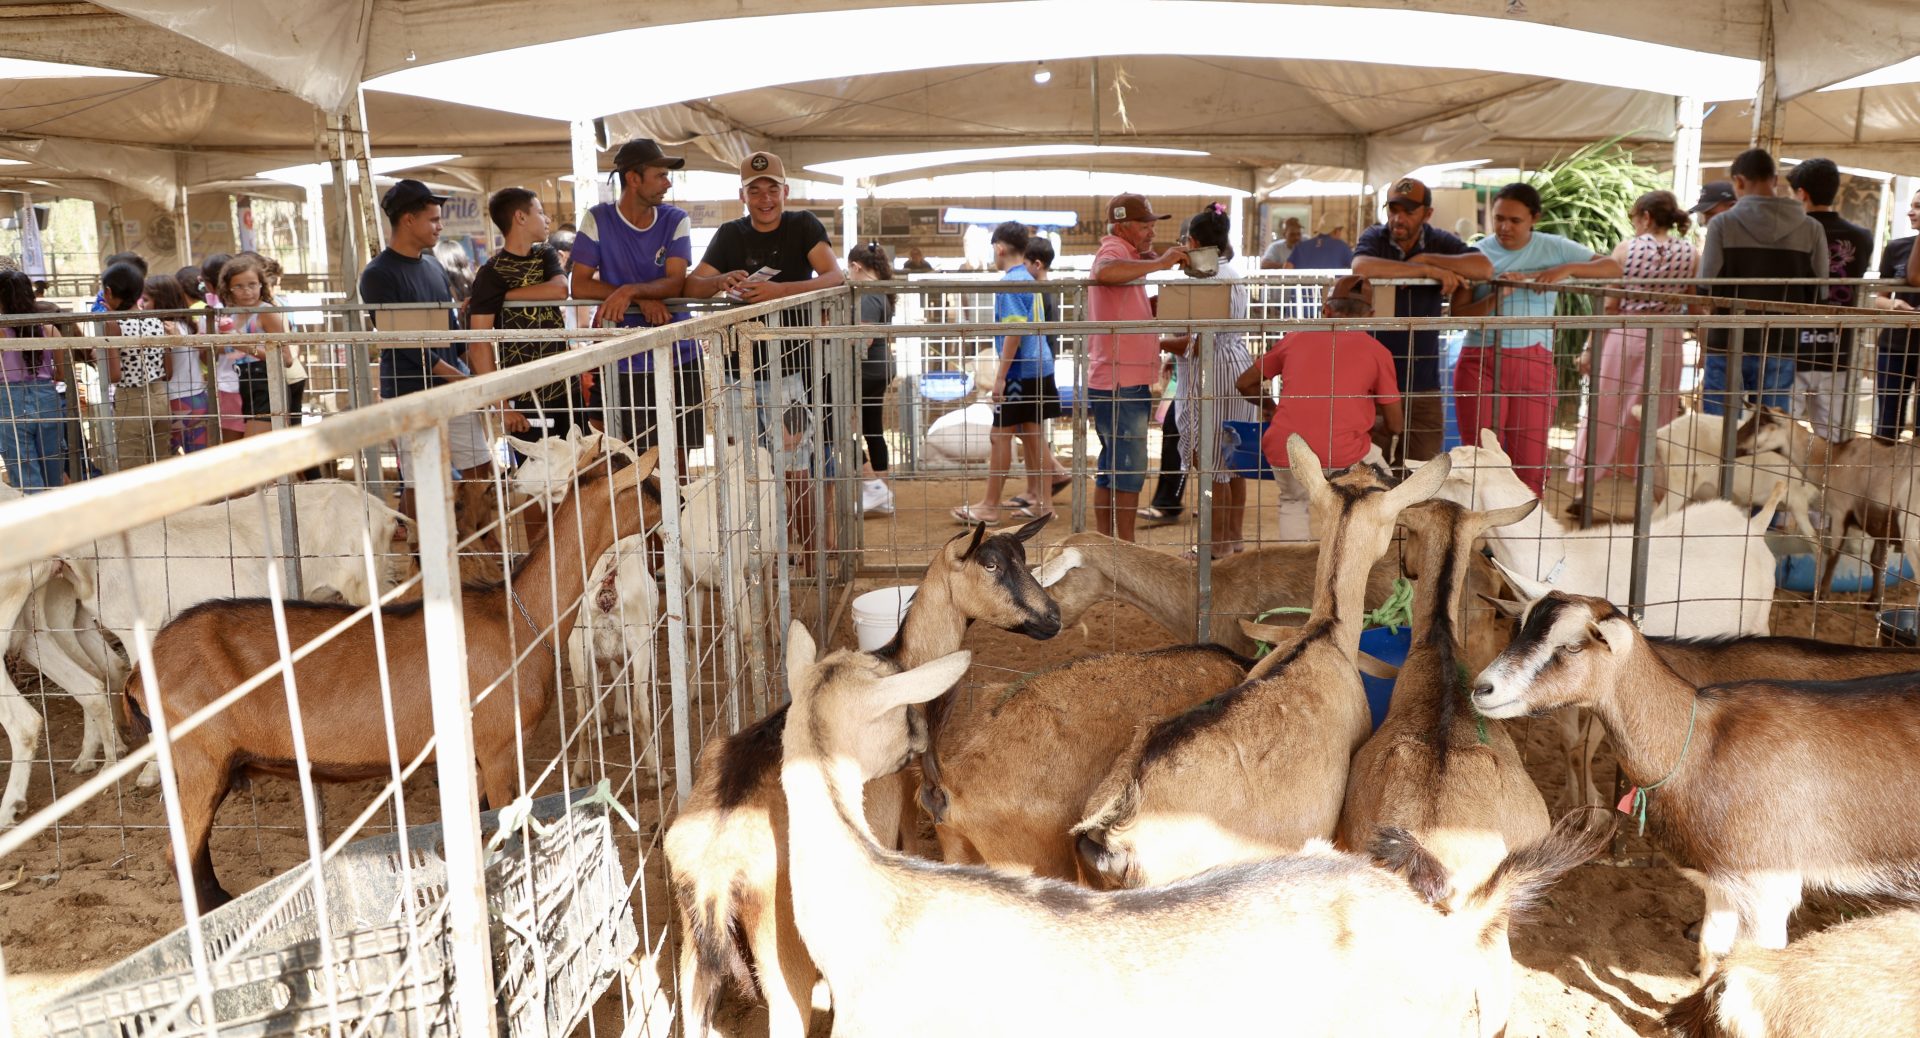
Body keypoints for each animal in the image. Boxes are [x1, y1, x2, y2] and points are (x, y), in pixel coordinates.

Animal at [566, 533, 658, 773]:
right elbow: (618, 674)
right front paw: (619, 720)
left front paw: (606, 724)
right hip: (641, 643)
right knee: (640, 708)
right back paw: (656, 770)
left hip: (576, 647)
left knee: (582, 713)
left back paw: (580, 771)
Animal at [664, 517, 1059, 1038]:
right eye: (991, 564)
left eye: (1023, 557)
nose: (1053, 617)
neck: (907, 662)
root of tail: (716, 867)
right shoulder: (900, 800)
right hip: (783, 958)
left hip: (693, 956)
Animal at [1472, 587, 1920, 978]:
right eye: (1519, 630)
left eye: (1572, 646)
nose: (1482, 688)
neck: (1700, 742)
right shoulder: (1722, 881)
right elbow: (1714, 951)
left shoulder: (1768, 888)